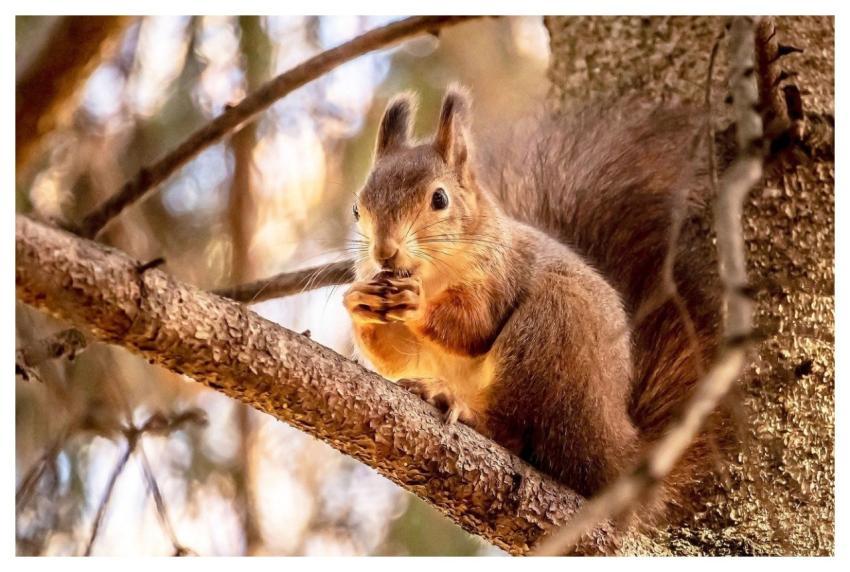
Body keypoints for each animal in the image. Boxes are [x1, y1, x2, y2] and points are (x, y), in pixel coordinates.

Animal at [343, 85, 730, 521]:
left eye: (439, 199)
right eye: (358, 207)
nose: (384, 252)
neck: (432, 272)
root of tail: (615, 452)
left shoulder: (501, 274)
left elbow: (474, 327)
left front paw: (420, 303)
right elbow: (397, 357)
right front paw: (358, 300)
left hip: (548, 338)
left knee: (514, 431)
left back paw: (456, 404)